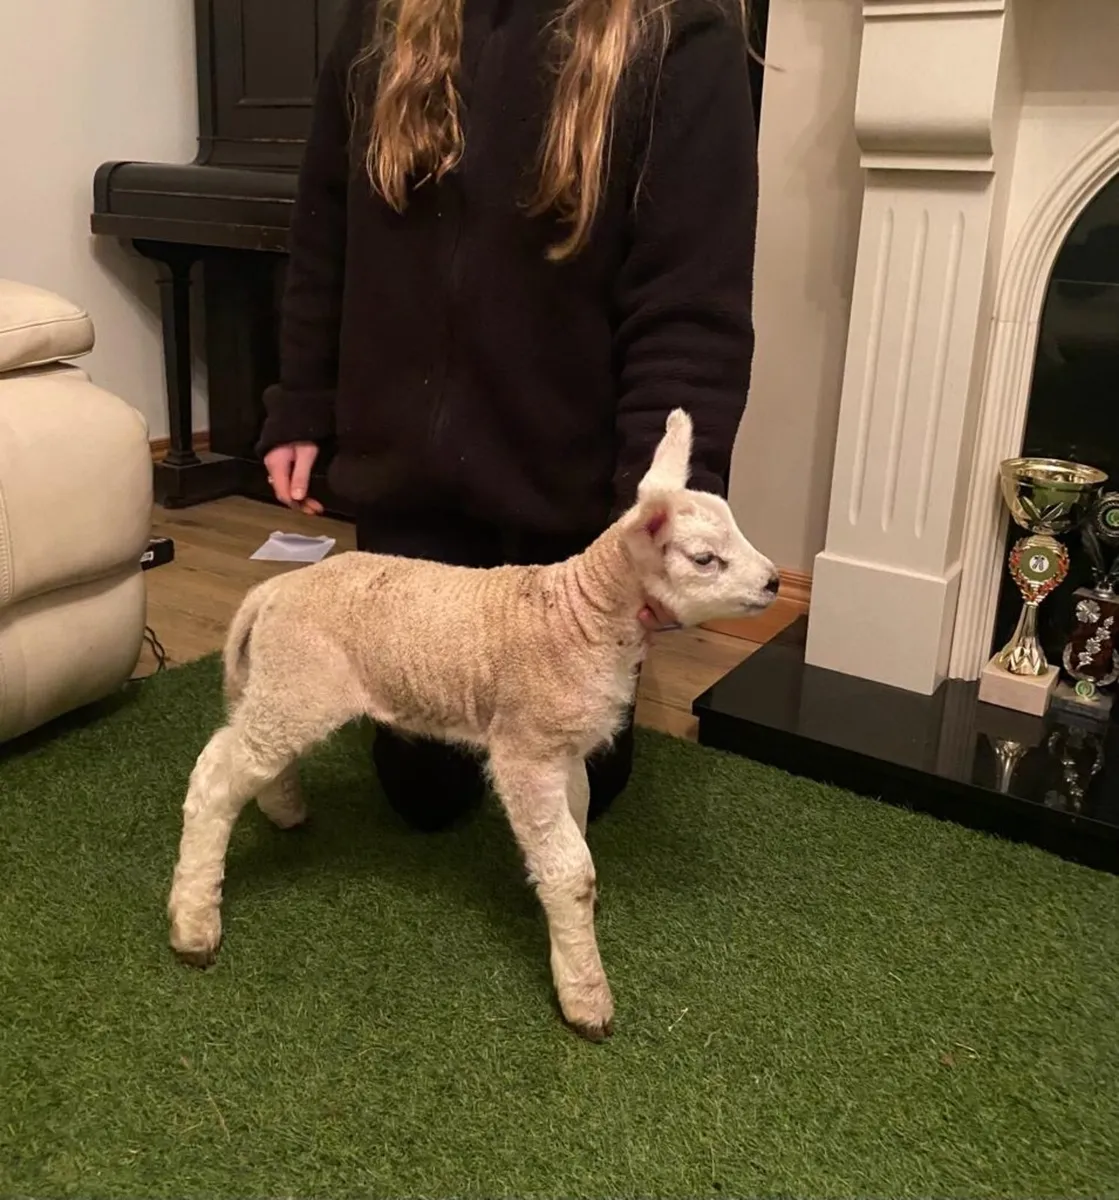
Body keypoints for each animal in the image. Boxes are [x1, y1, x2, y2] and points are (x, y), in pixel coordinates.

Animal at [167, 409, 778, 1040]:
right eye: (705, 559)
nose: (775, 582)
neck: (581, 614)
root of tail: (273, 590)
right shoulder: (526, 751)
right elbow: (571, 870)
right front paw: (585, 996)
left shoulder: (562, 750)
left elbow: (578, 824)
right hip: (297, 681)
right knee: (215, 776)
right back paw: (194, 924)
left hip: (286, 685)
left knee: (251, 751)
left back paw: (283, 809)